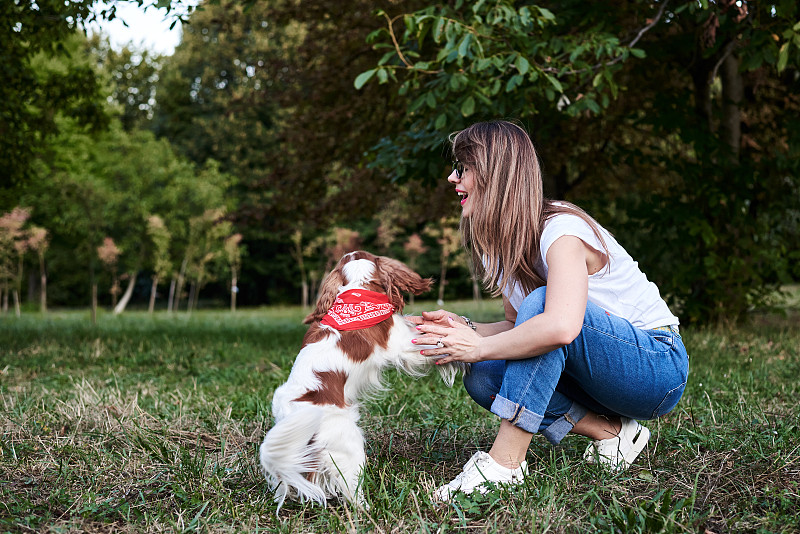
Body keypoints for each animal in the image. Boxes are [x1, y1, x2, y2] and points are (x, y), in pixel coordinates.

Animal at [260, 251, 462, 510]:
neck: (357, 292)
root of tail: (291, 409)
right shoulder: (403, 345)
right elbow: (431, 342)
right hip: (349, 444)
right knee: (350, 489)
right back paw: (368, 509)